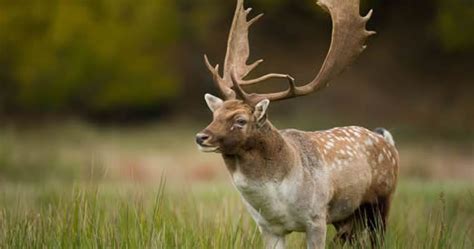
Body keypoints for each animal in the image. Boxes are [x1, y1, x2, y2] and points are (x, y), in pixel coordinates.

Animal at [196, 0, 400, 249]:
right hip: (348, 217)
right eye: (214, 115)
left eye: (240, 120)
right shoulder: (268, 227)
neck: (278, 199)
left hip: (383, 199)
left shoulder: (316, 217)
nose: (201, 137)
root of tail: (385, 139)